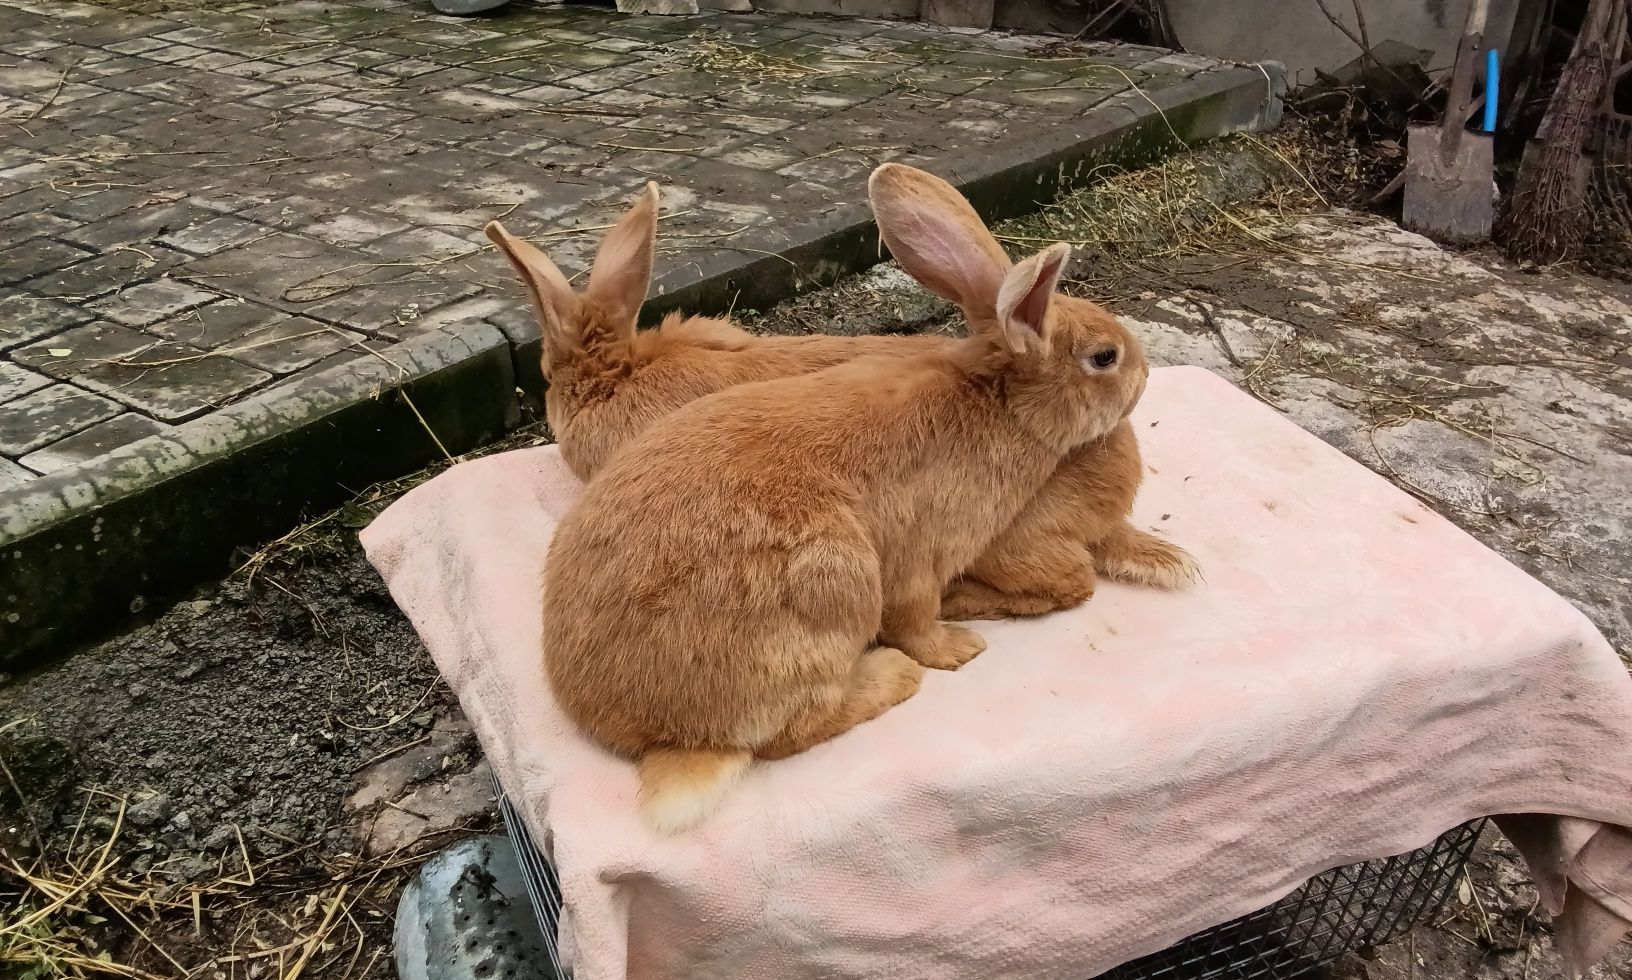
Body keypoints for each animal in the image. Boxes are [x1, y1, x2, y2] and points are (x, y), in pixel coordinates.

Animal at [541, 162, 1155, 833]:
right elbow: (916, 619)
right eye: (1104, 358)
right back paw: (893, 676)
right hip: (836, 584)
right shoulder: (921, 557)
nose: (1146, 373)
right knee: (796, 729)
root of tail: (663, 736)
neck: (1001, 404)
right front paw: (958, 650)